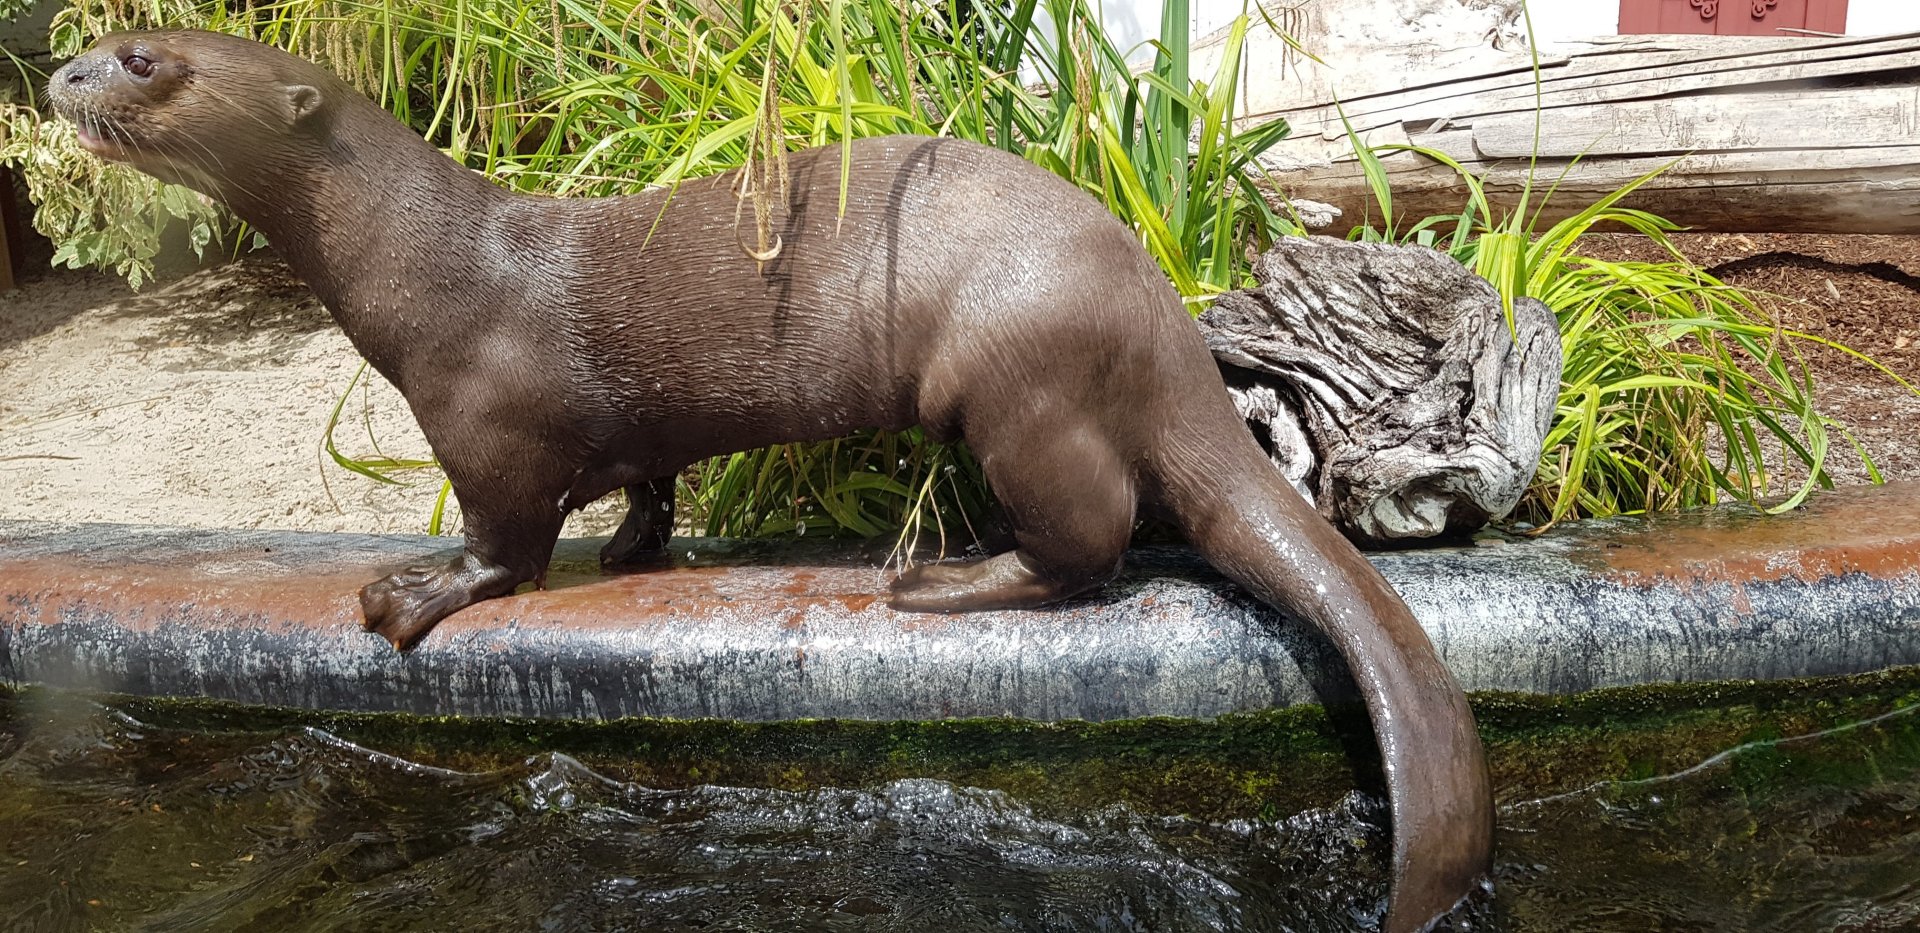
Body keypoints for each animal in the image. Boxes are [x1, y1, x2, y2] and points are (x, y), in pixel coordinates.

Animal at [50, 30, 1491, 930]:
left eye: (146, 60)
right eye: (110, 37)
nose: (57, 72)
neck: (426, 262)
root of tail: (1157, 320)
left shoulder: (483, 421)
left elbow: (505, 541)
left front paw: (416, 592)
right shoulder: (627, 432)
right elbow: (646, 478)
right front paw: (637, 550)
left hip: (1012, 371)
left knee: (1096, 538)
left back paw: (940, 581)